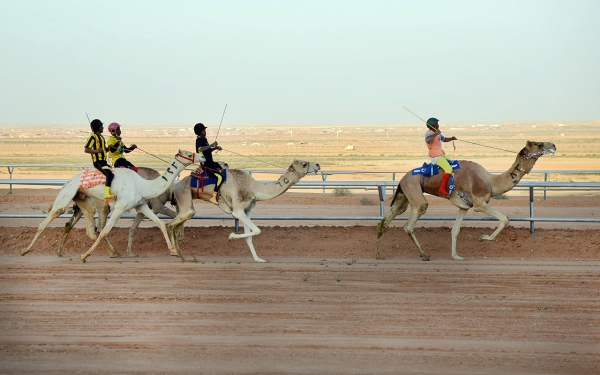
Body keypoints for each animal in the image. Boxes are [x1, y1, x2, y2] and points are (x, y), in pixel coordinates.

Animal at [21, 150, 205, 262]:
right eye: (189, 153)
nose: (202, 157)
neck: (144, 184)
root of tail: (69, 180)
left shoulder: (142, 206)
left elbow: (159, 223)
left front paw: (173, 251)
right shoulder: (120, 208)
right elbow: (105, 231)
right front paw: (84, 255)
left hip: (85, 202)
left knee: (89, 229)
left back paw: (111, 252)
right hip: (68, 195)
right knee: (48, 219)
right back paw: (25, 251)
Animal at [166, 160, 322, 262]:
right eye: (304, 164)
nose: (318, 165)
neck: (254, 188)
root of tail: (176, 186)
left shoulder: (247, 211)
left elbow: (250, 235)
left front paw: (258, 259)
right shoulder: (238, 210)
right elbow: (257, 230)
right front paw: (231, 236)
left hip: (184, 205)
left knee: (175, 225)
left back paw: (181, 256)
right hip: (185, 200)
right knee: (171, 224)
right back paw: (175, 253)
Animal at [378, 141, 556, 262]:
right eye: (539, 144)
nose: (553, 145)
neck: (491, 181)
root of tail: (402, 179)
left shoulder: (464, 207)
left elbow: (455, 230)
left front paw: (456, 256)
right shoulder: (479, 204)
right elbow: (505, 219)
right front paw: (483, 238)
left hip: (403, 196)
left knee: (385, 220)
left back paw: (378, 253)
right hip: (415, 194)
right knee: (409, 224)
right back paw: (424, 254)